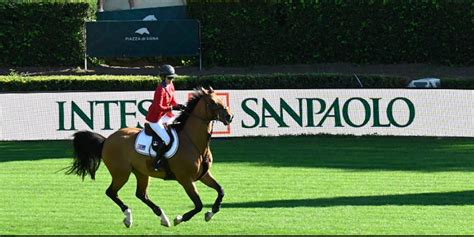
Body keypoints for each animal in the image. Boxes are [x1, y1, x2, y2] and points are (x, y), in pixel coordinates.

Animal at [65, 87, 236, 228]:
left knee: (141, 194)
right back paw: (129, 217)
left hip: (141, 173)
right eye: (213, 102)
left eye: (221, 99)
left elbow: (220, 190)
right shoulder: (185, 179)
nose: (230, 117)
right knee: (111, 192)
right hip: (121, 174)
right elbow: (198, 204)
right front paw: (179, 219)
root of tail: (106, 140)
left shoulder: (204, 175)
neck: (193, 141)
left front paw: (210, 213)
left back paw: (163, 218)